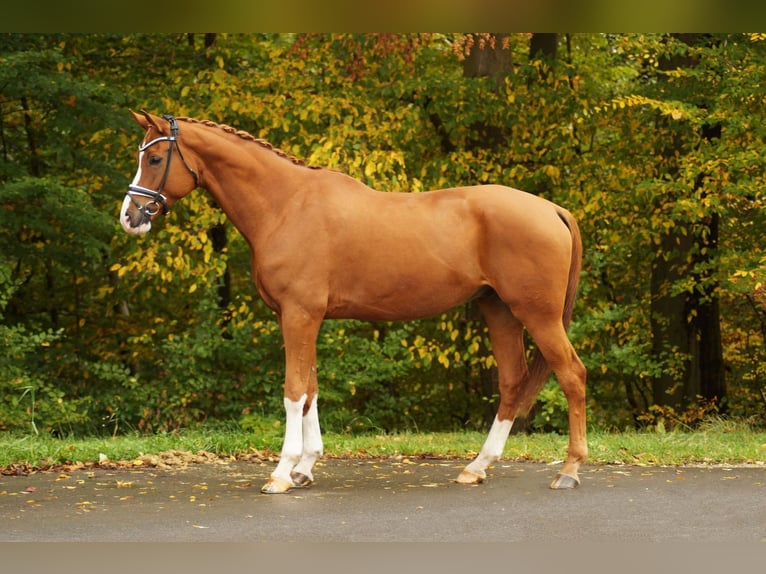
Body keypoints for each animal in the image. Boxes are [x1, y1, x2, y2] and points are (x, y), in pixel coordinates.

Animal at [120, 110, 588, 494]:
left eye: (155, 159)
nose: (130, 216)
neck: (286, 205)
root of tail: (552, 209)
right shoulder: (303, 318)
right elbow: (310, 390)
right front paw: (305, 468)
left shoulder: (299, 315)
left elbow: (293, 391)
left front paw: (282, 472)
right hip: (499, 310)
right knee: (512, 382)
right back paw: (477, 467)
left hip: (538, 315)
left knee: (572, 375)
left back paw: (568, 470)